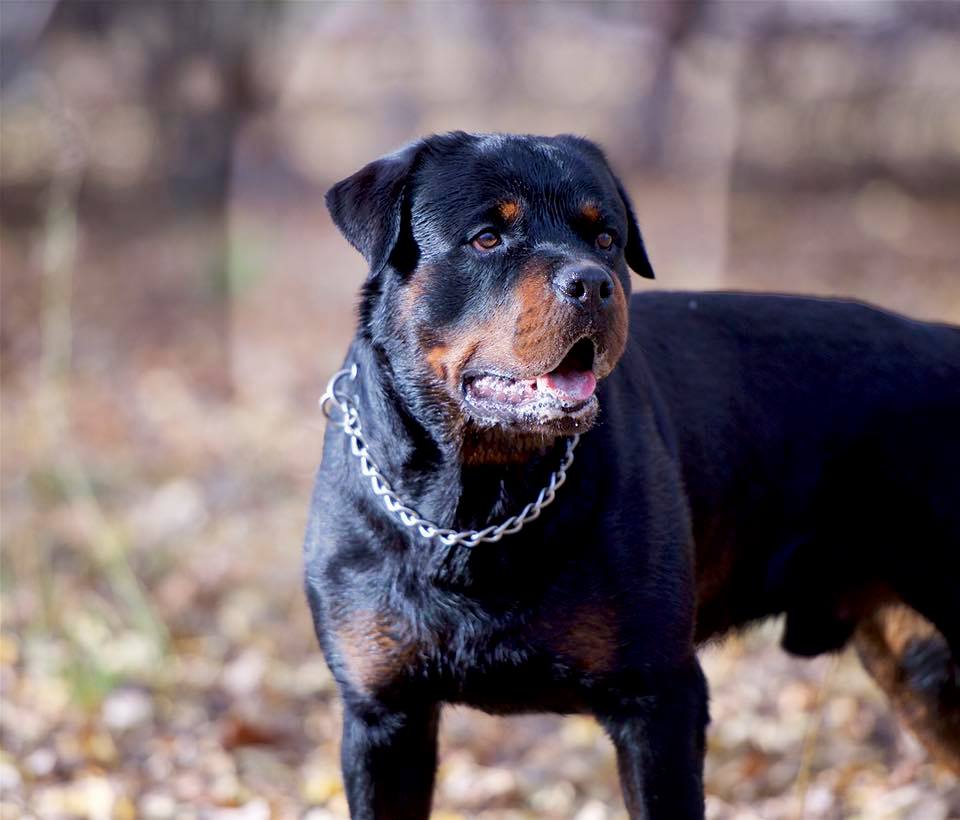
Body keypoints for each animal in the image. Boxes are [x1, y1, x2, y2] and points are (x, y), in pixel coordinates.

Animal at [304, 131, 956, 816]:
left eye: (606, 240)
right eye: (487, 237)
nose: (591, 283)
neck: (477, 501)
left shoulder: (658, 700)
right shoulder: (383, 715)